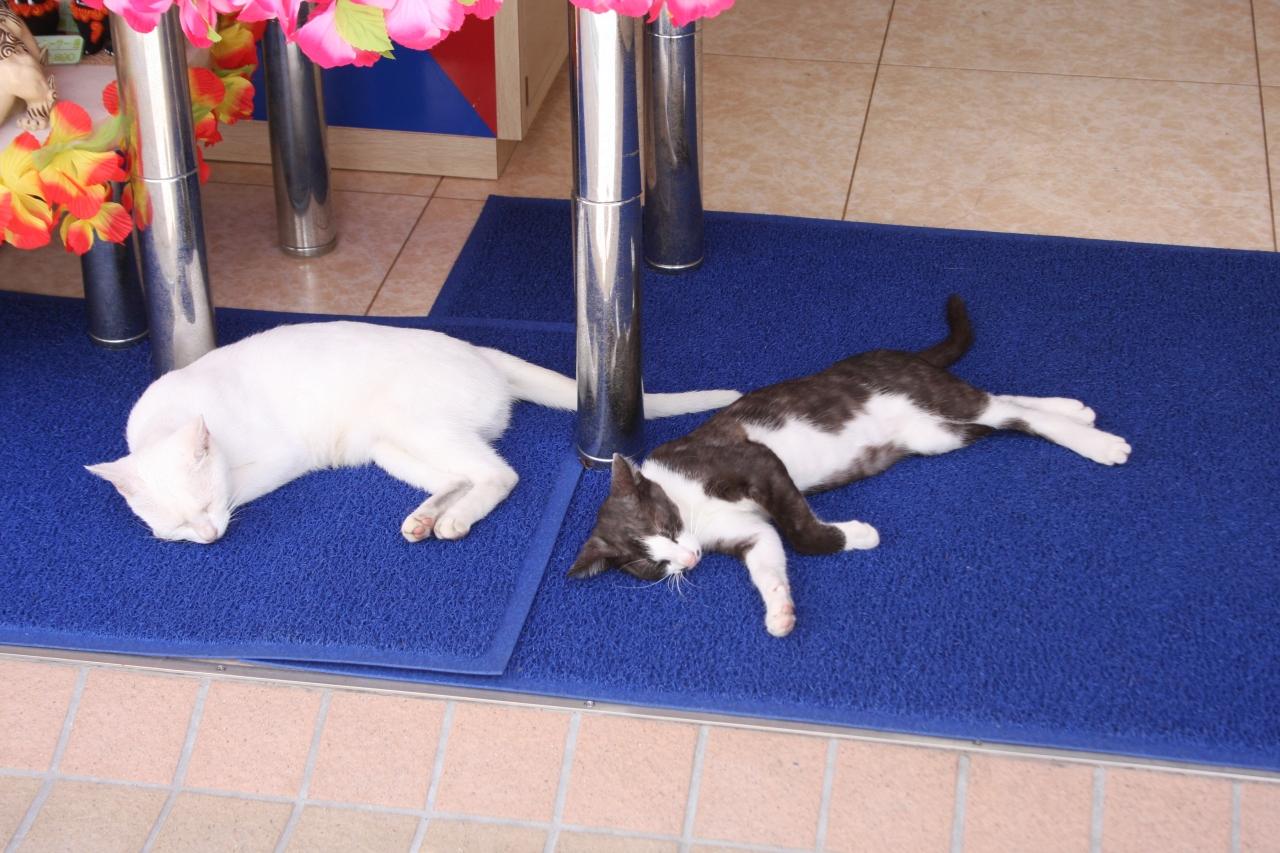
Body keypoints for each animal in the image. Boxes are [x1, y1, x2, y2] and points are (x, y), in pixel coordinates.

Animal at [87, 321, 740, 545]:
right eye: (178, 520)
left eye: (201, 506)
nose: (204, 536)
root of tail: (478, 352)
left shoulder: (277, 459)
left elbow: (239, 490)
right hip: (392, 446)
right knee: (464, 475)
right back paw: (425, 518)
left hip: (415, 427)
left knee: (500, 473)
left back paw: (452, 523)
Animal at [568, 295, 1131, 637]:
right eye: (651, 565)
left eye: (665, 526)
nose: (686, 561)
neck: (688, 505)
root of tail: (908, 358)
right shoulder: (748, 532)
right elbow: (770, 558)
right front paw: (780, 610)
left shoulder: (755, 458)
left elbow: (800, 533)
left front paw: (858, 535)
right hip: (937, 436)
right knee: (1004, 410)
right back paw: (1075, 411)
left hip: (933, 401)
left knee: (1002, 406)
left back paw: (1096, 440)